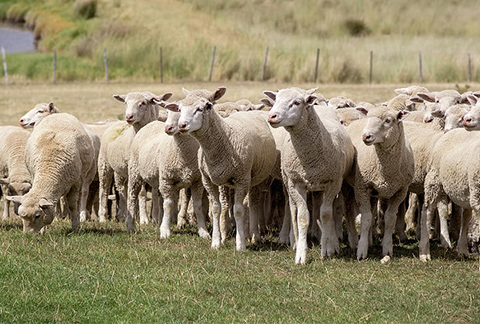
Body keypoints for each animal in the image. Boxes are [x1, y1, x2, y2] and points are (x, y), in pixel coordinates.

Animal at [126, 109, 209, 238]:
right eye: (168, 112)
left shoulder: (197, 181)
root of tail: (152, 123)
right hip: (135, 171)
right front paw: (165, 231)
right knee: (132, 196)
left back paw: (159, 222)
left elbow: (198, 205)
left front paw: (203, 231)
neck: (184, 156)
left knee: (160, 200)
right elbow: (169, 205)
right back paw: (130, 226)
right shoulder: (167, 179)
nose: (168, 128)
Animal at [167, 87, 278, 252]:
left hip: (257, 177)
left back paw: (254, 235)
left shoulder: (242, 179)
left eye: (200, 108)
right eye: (179, 109)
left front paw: (240, 243)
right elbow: (216, 209)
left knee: (253, 203)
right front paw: (216, 241)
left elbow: (238, 210)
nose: (182, 125)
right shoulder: (209, 180)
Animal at [264, 87, 358, 264]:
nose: (271, 116)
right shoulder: (296, 183)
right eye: (276, 100)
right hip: (289, 181)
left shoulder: (333, 182)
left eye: (296, 102)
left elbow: (326, 214)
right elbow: (302, 217)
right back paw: (293, 239)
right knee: (292, 207)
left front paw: (327, 248)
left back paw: (329, 239)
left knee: (328, 208)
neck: (310, 158)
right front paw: (301, 253)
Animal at [346, 106, 414, 260]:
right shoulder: (362, 188)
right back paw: (361, 241)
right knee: (357, 213)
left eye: (388, 120)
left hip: (374, 193)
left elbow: (389, 219)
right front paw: (362, 250)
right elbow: (365, 219)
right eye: (369, 117)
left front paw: (387, 248)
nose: (366, 136)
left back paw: (371, 239)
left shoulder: (400, 192)